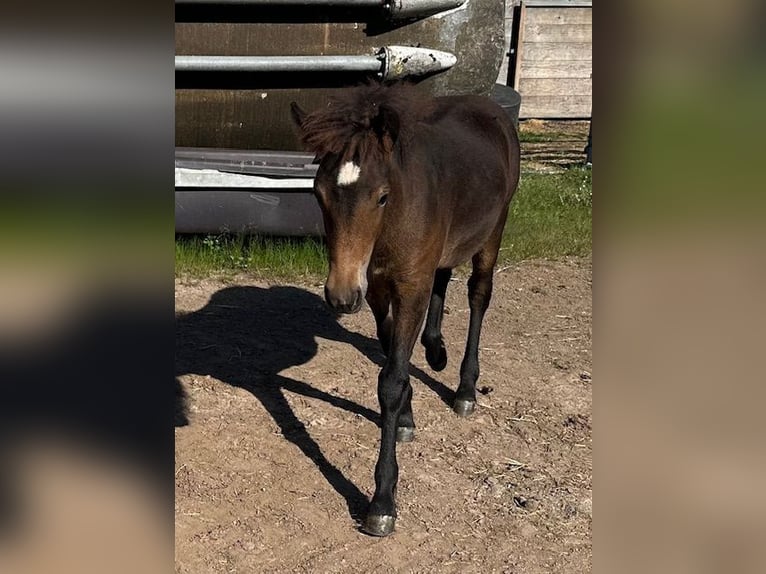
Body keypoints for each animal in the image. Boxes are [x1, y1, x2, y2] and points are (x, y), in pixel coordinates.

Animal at [290, 82, 520, 536]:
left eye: (382, 196)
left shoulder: (409, 286)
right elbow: (390, 351)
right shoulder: (378, 289)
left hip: (493, 230)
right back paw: (435, 349)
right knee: (444, 275)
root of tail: (491, 107)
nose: (341, 295)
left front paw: (381, 502)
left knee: (478, 294)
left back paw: (465, 389)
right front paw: (409, 417)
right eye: (317, 193)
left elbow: (391, 381)